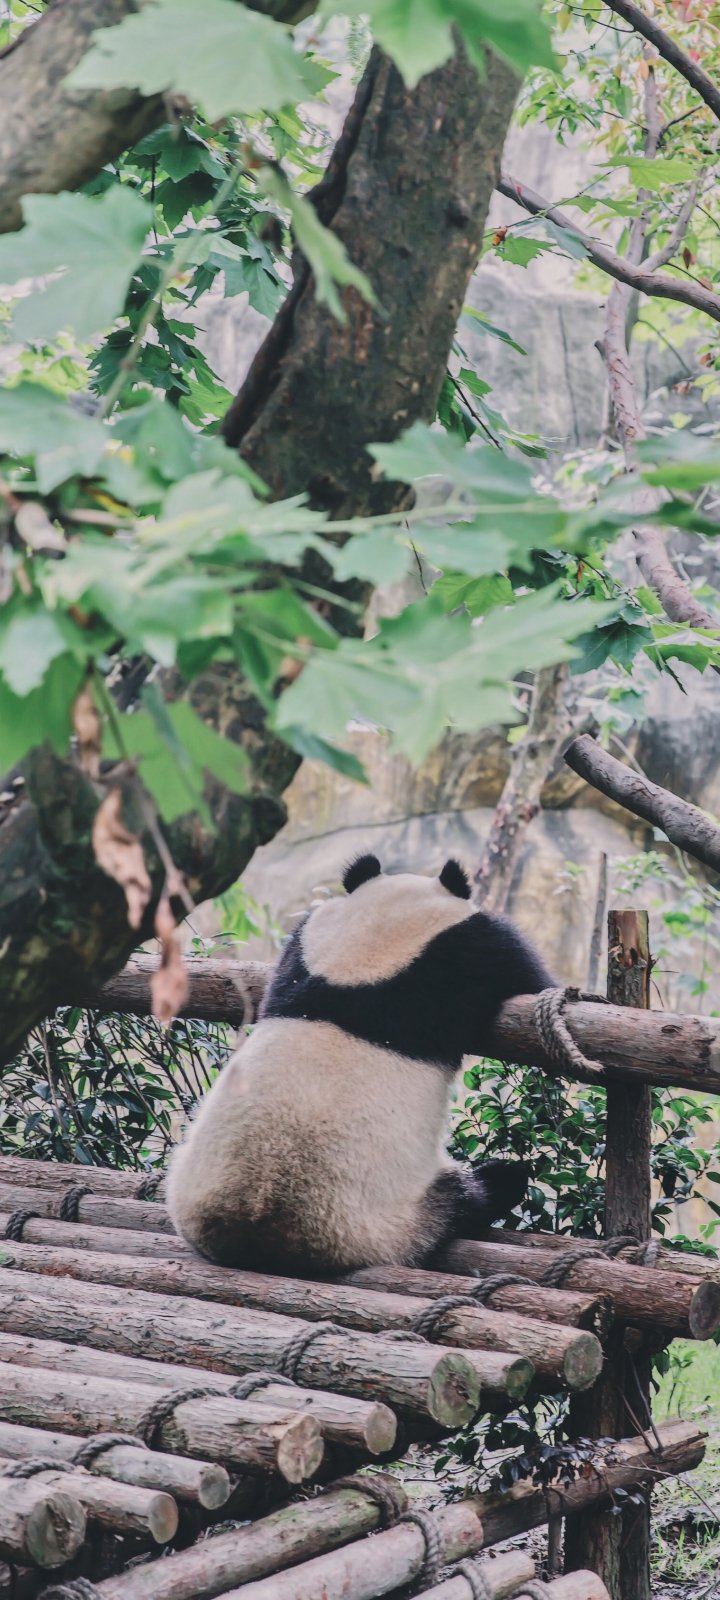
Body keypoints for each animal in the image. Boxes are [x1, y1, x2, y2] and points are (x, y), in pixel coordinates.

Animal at [167, 854, 553, 1276]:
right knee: (467, 1198)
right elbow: (528, 975)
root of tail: (252, 1233)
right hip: (385, 1219)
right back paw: (499, 1182)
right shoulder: (470, 949)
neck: (367, 951)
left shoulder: (304, 947)